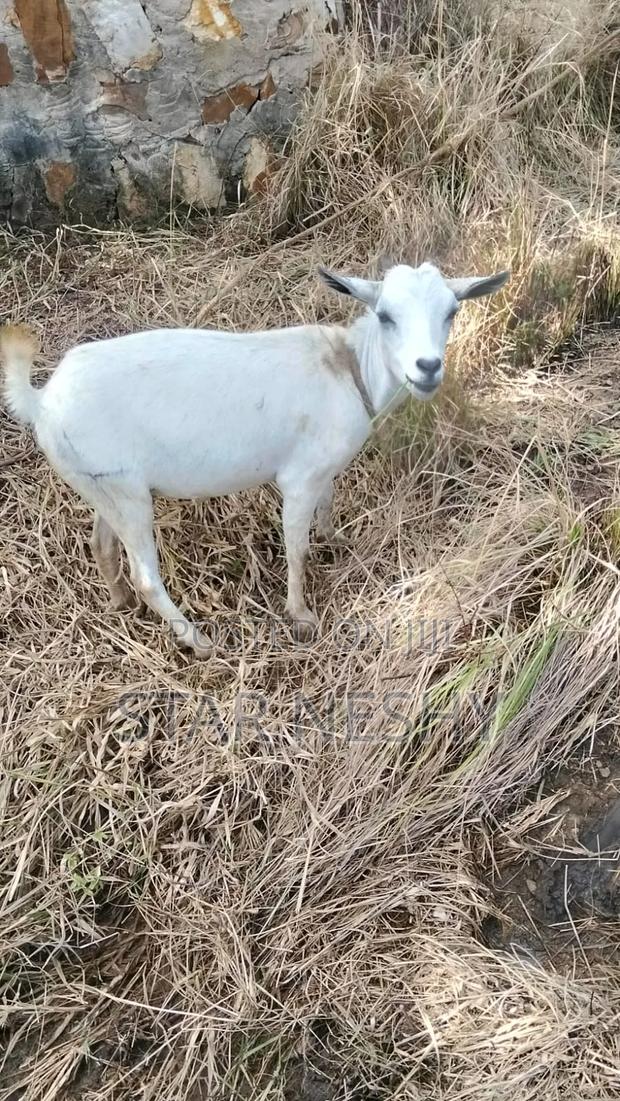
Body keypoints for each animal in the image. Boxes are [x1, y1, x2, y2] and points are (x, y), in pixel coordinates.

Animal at [1, 262, 508, 656]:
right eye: (385, 315)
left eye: (452, 311)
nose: (428, 368)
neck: (349, 368)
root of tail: (41, 401)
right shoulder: (299, 478)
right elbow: (296, 547)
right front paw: (301, 615)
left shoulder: (324, 465)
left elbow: (328, 502)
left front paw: (337, 539)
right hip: (125, 492)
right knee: (146, 575)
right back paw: (197, 640)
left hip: (103, 482)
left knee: (101, 543)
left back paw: (119, 602)